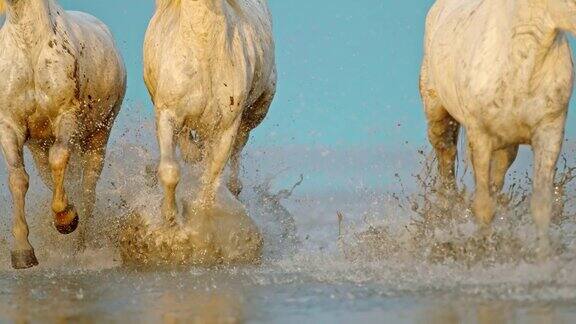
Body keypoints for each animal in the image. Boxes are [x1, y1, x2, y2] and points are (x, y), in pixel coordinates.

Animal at [0, 0, 125, 268]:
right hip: (39, 146)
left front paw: (66, 220)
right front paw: (22, 252)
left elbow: (59, 159)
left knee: (87, 190)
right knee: (54, 178)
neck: (30, 47)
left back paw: (79, 245)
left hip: (99, 136)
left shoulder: (66, 115)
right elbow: (18, 179)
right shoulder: (9, 124)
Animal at [146, 0, 276, 223]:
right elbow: (170, 170)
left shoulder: (227, 126)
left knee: (235, 154)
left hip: (253, 115)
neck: (202, 48)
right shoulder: (167, 114)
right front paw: (170, 216)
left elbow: (211, 179)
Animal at [420, 0, 572, 256]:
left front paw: (542, 258)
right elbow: (483, 206)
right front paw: (484, 252)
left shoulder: (549, 131)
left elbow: (541, 205)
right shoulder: (480, 135)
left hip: (506, 147)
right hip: (438, 118)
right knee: (446, 163)